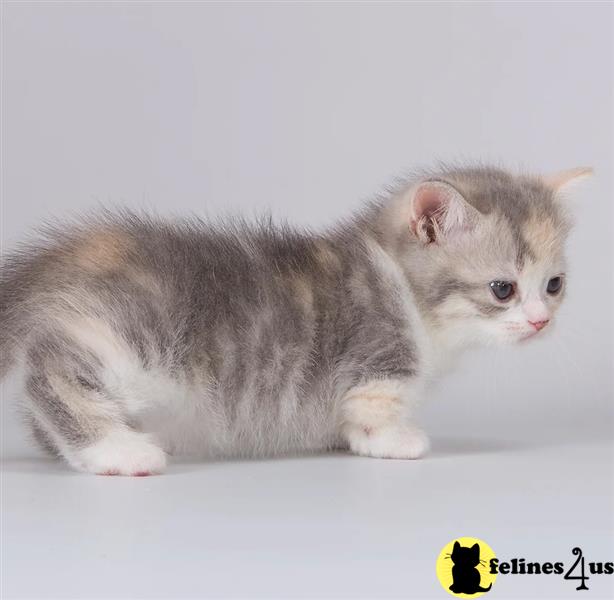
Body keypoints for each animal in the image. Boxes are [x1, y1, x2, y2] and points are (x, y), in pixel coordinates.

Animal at [0, 163, 592, 474]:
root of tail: (49, 265)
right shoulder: (378, 360)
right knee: (49, 370)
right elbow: (374, 406)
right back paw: (115, 449)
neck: (400, 280)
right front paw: (394, 440)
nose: (539, 321)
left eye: (554, 286)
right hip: (136, 335)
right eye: (502, 289)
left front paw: (352, 439)